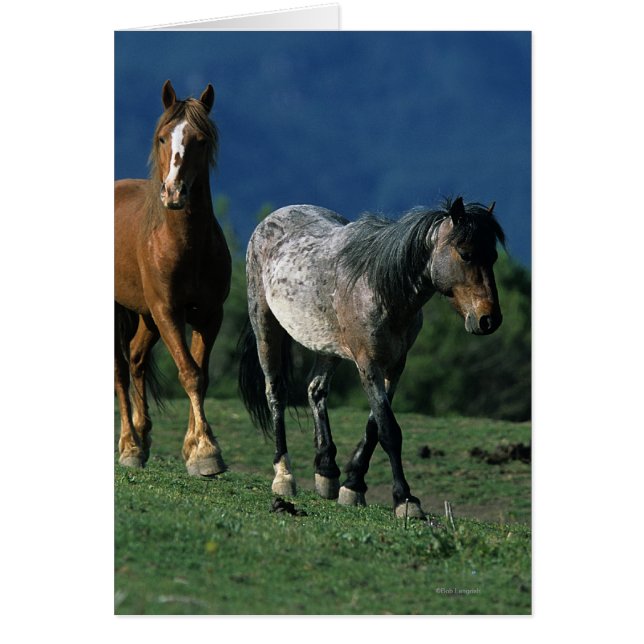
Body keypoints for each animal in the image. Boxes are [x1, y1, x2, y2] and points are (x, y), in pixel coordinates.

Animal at [115, 80, 232, 477]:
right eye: (164, 137)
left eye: (201, 140)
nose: (174, 192)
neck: (186, 245)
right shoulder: (168, 311)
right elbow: (189, 372)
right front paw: (207, 451)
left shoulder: (208, 315)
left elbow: (201, 374)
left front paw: (194, 448)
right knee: (120, 369)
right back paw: (130, 444)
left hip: (146, 316)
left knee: (135, 359)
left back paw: (141, 437)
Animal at [238, 197, 504, 517]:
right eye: (465, 254)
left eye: (493, 257)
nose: (489, 320)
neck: (379, 287)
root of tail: (271, 219)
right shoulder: (368, 364)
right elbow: (389, 430)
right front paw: (405, 500)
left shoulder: (395, 366)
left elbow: (374, 427)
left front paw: (352, 485)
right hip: (265, 326)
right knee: (276, 393)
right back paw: (284, 477)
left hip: (327, 345)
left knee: (315, 389)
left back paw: (326, 470)